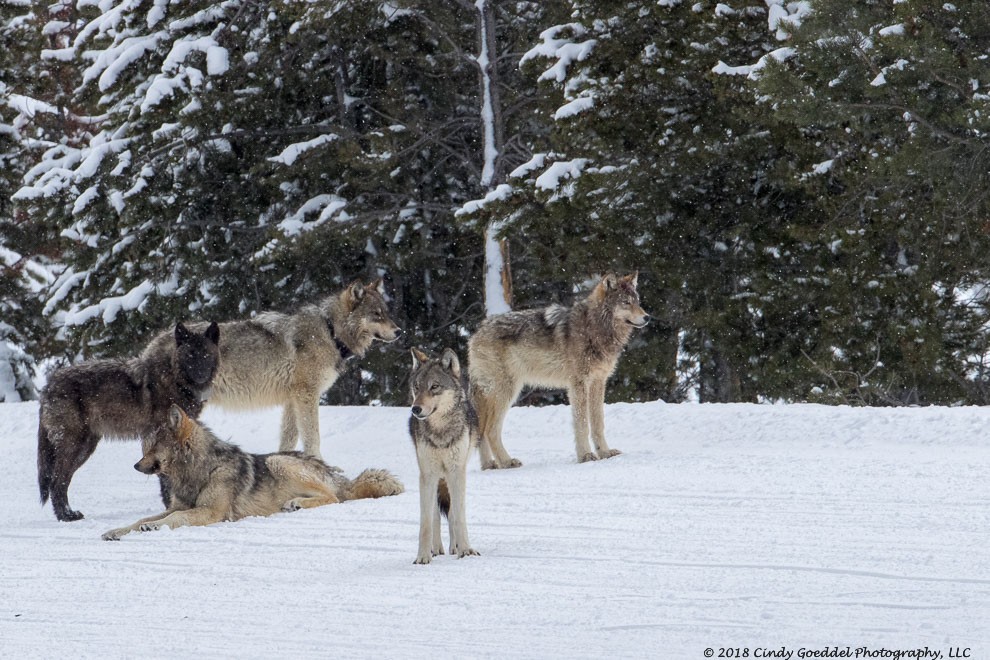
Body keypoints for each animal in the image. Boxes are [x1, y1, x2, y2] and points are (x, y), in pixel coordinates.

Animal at [101, 402, 406, 540]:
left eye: (153, 447)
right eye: (144, 447)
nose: (136, 465)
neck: (198, 470)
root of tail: (335, 473)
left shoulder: (211, 512)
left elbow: (174, 517)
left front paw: (154, 527)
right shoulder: (178, 504)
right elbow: (142, 518)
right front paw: (117, 530)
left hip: (279, 463)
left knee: (334, 498)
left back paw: (295, 504)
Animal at [140, 282, 404, 462]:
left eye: (387, 312)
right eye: (377, 314)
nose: (399, 331)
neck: (330, 331)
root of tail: (149, 347)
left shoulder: (292, 399)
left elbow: (288, 440)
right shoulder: (307, 395)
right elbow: (313, 437)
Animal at [406, 348, 476, 564]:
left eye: (434, 387)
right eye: (417, 387)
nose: (415, 409)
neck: (440, 432)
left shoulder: (456, 471)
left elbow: (458, 516)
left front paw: (466, 550)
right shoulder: (428, 475)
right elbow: (427, 521)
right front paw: (423, 556)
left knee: (452, 512)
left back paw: (454, 547)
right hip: (435, 477)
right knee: (435, 515)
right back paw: (436, 548)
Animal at [470, 274, 652, 470]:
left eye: (637, 301)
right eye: (626, 302)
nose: (647, 317)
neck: (594, 328)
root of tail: (476, 333)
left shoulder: (598, 382)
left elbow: (598, 423)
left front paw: (604, 453)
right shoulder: (578, 383)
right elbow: (582, 424)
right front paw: (586, 456)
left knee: (482, 430)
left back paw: (489, 465)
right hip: (507, 391)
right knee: (490, 430)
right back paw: (506, 462)